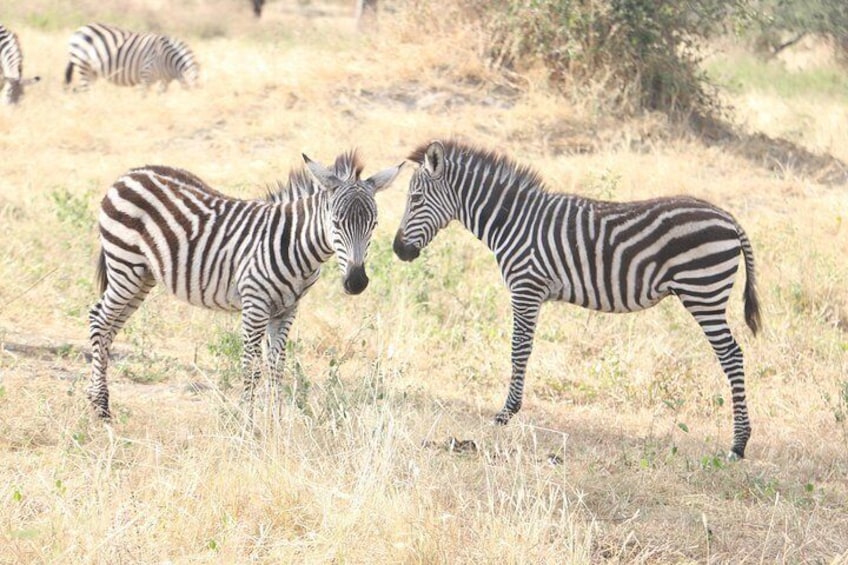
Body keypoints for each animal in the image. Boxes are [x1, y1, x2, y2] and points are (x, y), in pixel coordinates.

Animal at [64, 23, 199, 92]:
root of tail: (80, 29)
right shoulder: (146, 74)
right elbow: (144, 96)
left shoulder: (164, 80)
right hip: (83, 65)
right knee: (84, 90)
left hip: (92, 70)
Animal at [88, 152, 400, 416]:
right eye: (336, 222)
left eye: (373, 224)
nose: (356, 282)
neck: (296, 245)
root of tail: (131, 173)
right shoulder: (255, 304)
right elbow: (252, 368)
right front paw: (247, 425)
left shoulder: (287, 310)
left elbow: (277, 367)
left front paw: (275, 422)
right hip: (124, 266)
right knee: (99, 319)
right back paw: (100, 407)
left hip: (143, 275)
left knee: (110, 327)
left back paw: (95, 399)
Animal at [396, 140, 760, 458]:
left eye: (415, 198)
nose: (398, 250)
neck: (512, 221)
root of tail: (729, 218)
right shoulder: (533, 292)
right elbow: (524, 350)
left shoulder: (526, 288)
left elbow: (518, 350)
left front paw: (505, 414)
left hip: (703, 292)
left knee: (732, 355)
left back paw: (738, 444)